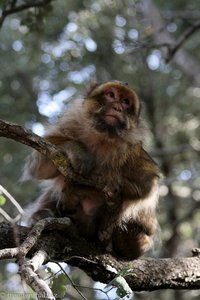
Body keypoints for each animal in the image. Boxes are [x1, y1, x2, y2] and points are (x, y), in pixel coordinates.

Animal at [21, 81, 160, 258]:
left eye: (126, 102)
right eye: (111, 95)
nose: (117, 107)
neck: (101, 137)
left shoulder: (132, 149)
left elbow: (147, 183)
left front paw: (103, 180)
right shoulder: (71, 124)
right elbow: (39, 167)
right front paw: (78, 151)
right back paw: (42, 215)